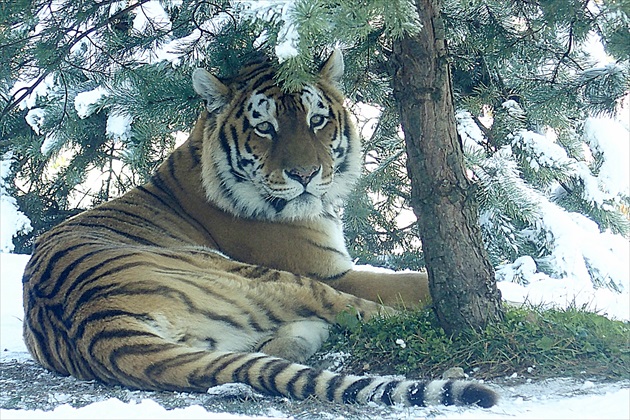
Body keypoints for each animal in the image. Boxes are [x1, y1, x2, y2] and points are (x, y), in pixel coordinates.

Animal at [22, 49, 498, 406]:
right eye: (264, 128)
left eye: (317, 120)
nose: (305, 175)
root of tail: (94, 324)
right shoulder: (331, 271)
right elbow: (412, 282)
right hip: (260, 276)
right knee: (364, 314)